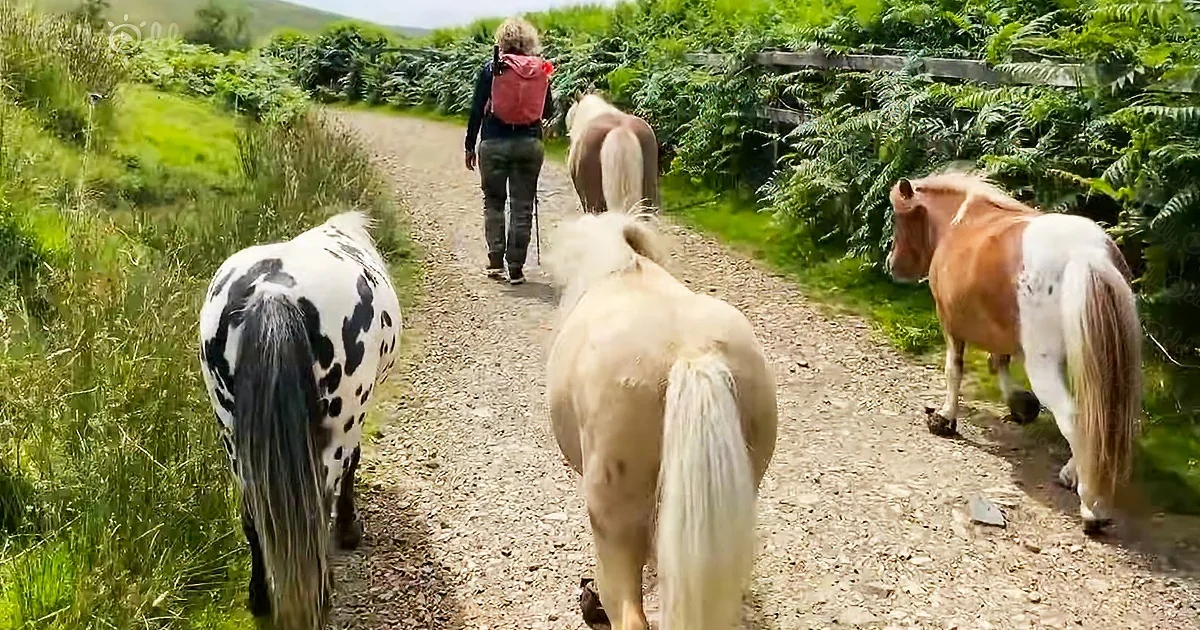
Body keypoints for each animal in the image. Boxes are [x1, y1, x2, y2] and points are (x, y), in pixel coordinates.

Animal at [198, 210, 402, 629]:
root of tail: (271, 293)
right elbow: (354, 466)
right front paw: (349, 530)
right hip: (336, 431)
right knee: (317, 509)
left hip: (233, 436)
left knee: (254, 516)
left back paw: (259, 598)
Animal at [885, 170, 1141, 535]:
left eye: (898, 217)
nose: (892, 265)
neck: (959, 222)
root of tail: (1087, 254)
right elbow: (999, 361)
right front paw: (1020, 405)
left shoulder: (950, 323)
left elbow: (954, 369)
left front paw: (945, 418)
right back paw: (1074, 473)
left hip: (1045, 364)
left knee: (1074, 418)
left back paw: (1092, 507)